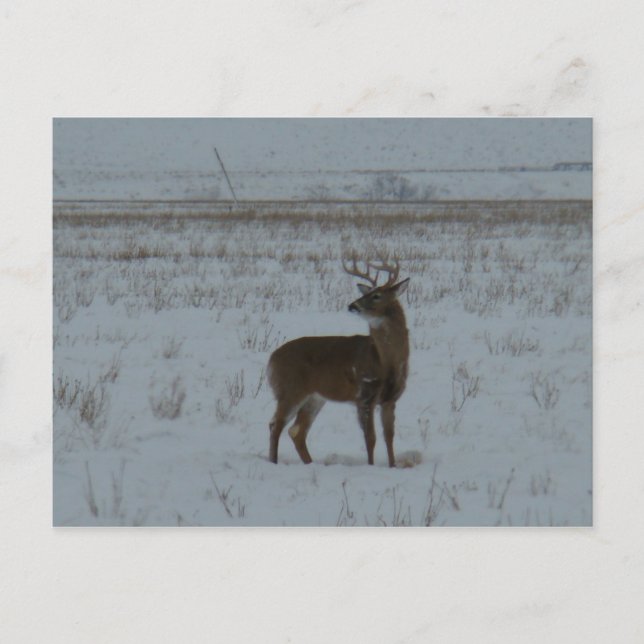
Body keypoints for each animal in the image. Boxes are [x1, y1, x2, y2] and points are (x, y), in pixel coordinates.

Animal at [266, 258, 410, 467]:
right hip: (289, 389)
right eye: (364, 293)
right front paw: (371, 466)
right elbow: (371, 438)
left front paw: (392, 466)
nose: (352, 306)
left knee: (296, 431)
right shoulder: (364, 394)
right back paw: (274, 462)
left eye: (376, 295)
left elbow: (389, 437)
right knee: (275, 425)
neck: (385, 361)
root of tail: (271, 360)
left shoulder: (391, 399)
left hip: (315, 398)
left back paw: (309, 463)